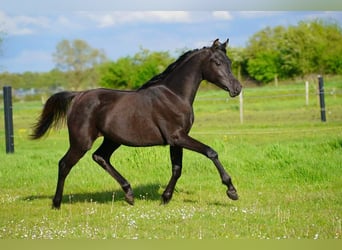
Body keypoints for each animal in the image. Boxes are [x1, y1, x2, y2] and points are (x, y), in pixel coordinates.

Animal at [30, 38, 242, 208]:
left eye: (230, 62)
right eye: (217, 62)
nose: (237, 88)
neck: (174, 95)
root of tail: (78, 96)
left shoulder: (177, 139)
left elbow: (177, 169)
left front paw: (165, 198)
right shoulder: (177, 137)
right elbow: (211, 152)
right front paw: (231, 190)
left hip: (112, 139)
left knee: (100, 157)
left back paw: (129, 194)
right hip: (81, 142)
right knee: (64, 164)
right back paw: (56, 204)